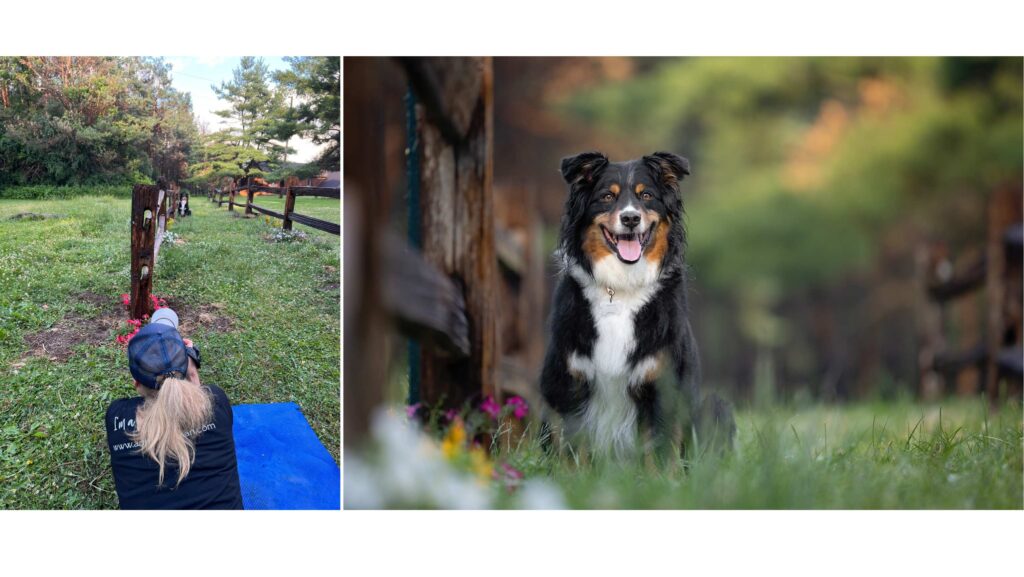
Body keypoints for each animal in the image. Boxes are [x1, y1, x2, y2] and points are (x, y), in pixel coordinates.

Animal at [540, 151, 733, 463]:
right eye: (607, 196)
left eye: (647, 196)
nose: (630, 218)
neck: (621, 288)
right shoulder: (569, 384)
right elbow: (572, 452)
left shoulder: (663, 385)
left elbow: (660, 454)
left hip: (715, 407)